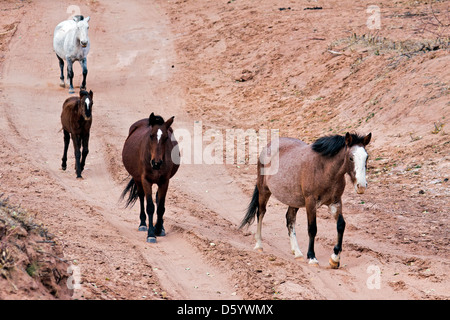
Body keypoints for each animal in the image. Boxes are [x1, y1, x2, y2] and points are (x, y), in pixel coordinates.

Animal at [122, 112, 182, 242]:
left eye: (166, 137)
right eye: (151, 135)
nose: (156, 163)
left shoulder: (164, 181)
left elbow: (160, 207)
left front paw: (158, 229)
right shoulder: (146, 180)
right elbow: (150, 206)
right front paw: (150, 234)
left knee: (158, 199)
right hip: (138, 179)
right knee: (141, 196)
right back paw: (143, 224)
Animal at [241, 132, 370, 268]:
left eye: (366, 157)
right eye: (351, 158)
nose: (361, 186)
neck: (324, 169)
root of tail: (268, 146)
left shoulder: (335, 202)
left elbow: (341, 225)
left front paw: (335, 259)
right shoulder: (310, 202)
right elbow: (312, 229)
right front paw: (312, 257)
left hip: (293, 200)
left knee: (290, 219)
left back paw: (297, 253)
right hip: (264, 190)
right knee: (260, 213)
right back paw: (259, 245)